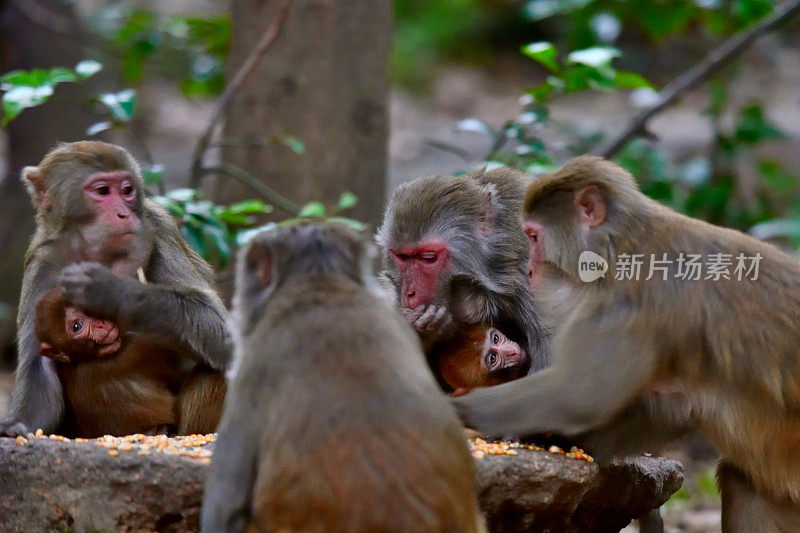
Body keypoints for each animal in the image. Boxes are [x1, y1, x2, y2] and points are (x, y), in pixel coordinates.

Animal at [456, 154, 800, 528]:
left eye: (532, 236)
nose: (529, 270)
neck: (621, 249)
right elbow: (663, 411)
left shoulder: (628, 306)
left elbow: (579, 396)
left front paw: (456, 410)